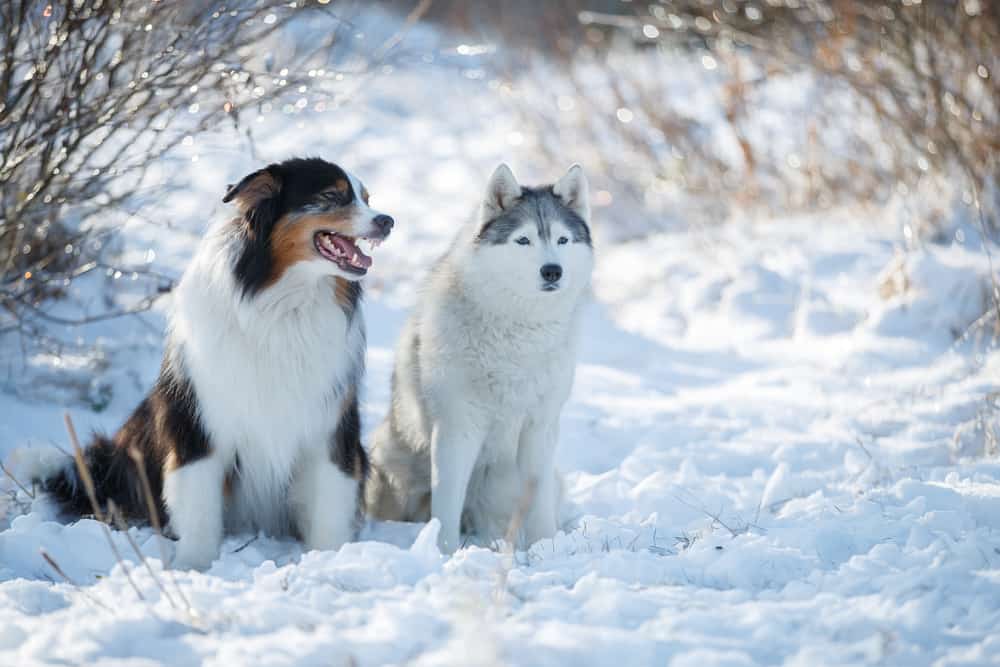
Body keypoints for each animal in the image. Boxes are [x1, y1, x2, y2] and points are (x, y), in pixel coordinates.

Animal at [364, 163, 588, 552]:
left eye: (562, 240)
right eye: (523, 240)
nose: (552, 271)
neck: (518, 333)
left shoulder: (540, 427)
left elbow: (539, 500)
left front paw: (547, 548)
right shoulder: (457, 428)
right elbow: (446, 505)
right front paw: (441, 553)